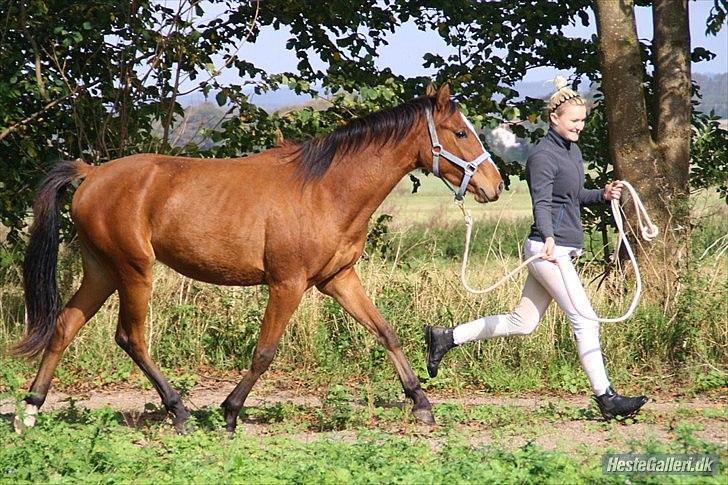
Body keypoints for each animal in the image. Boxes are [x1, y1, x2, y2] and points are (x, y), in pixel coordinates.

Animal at [12, 83, 500, 432]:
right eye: (460, 132)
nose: (494, 186)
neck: (324, 190)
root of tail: (92, 174)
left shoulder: (339, 278)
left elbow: (386, 332)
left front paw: (421, 403)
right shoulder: (287, 284)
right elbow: (265, 351)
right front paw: (229, 411)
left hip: (102, 271)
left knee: (65, 326)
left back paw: (31, 409)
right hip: (134, 272)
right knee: (130, 337)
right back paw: (179, 411)